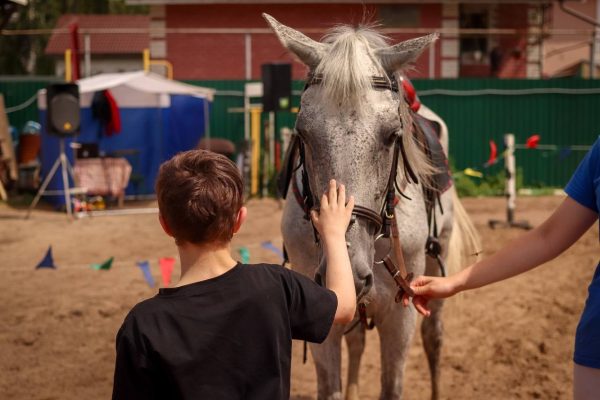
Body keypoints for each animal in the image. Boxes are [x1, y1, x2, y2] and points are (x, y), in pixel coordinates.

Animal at [264, 14, 480, 400]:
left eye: (393, 135)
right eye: (302, 134)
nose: (349, 268)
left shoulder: (400, 317)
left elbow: (392, 384)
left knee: (434, 338)